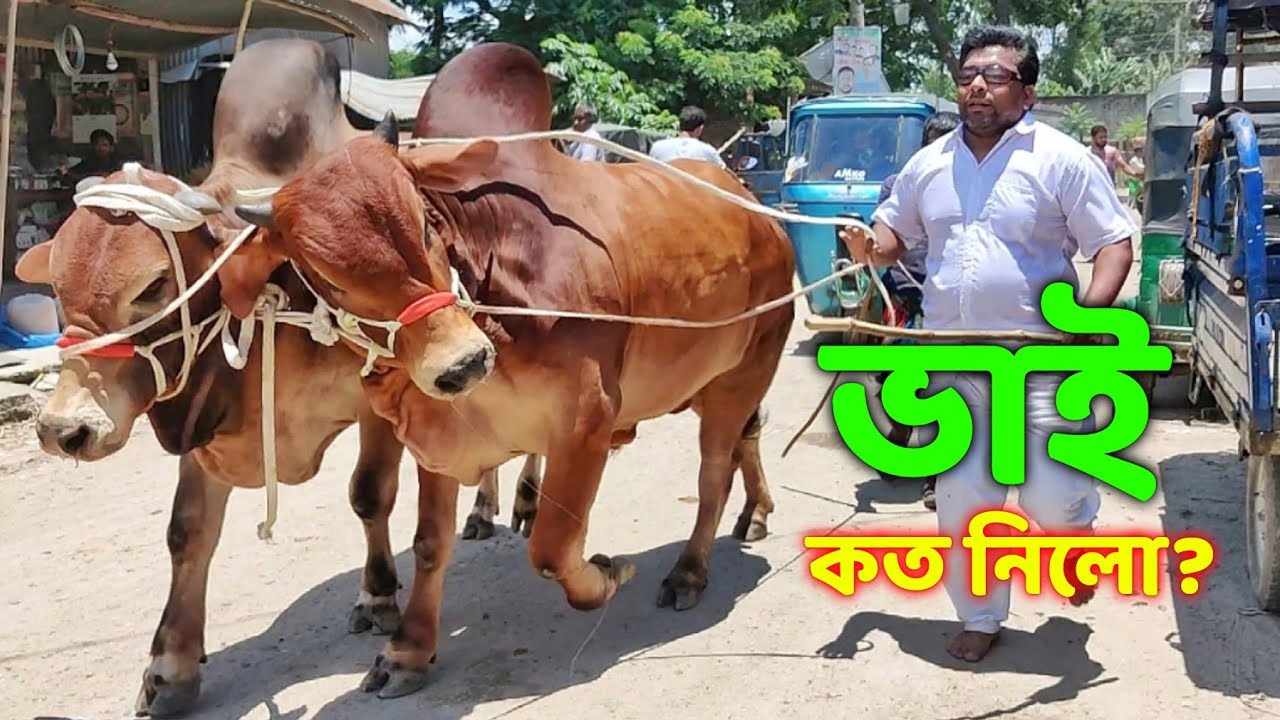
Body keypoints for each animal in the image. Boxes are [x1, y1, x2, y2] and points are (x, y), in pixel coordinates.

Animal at [226, 42, 793, 699]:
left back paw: (690, 572)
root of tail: (760, 211)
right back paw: (756, 513)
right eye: (326, 274)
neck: (488, 279)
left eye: (425, 223)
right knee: (746, 440)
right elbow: (430, 544)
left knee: (714, 472)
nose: (463, 363)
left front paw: (608, 573)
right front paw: (409, 651)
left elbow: (552, 548)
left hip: (744, 371)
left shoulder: (587, 421)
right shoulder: (435, 436)